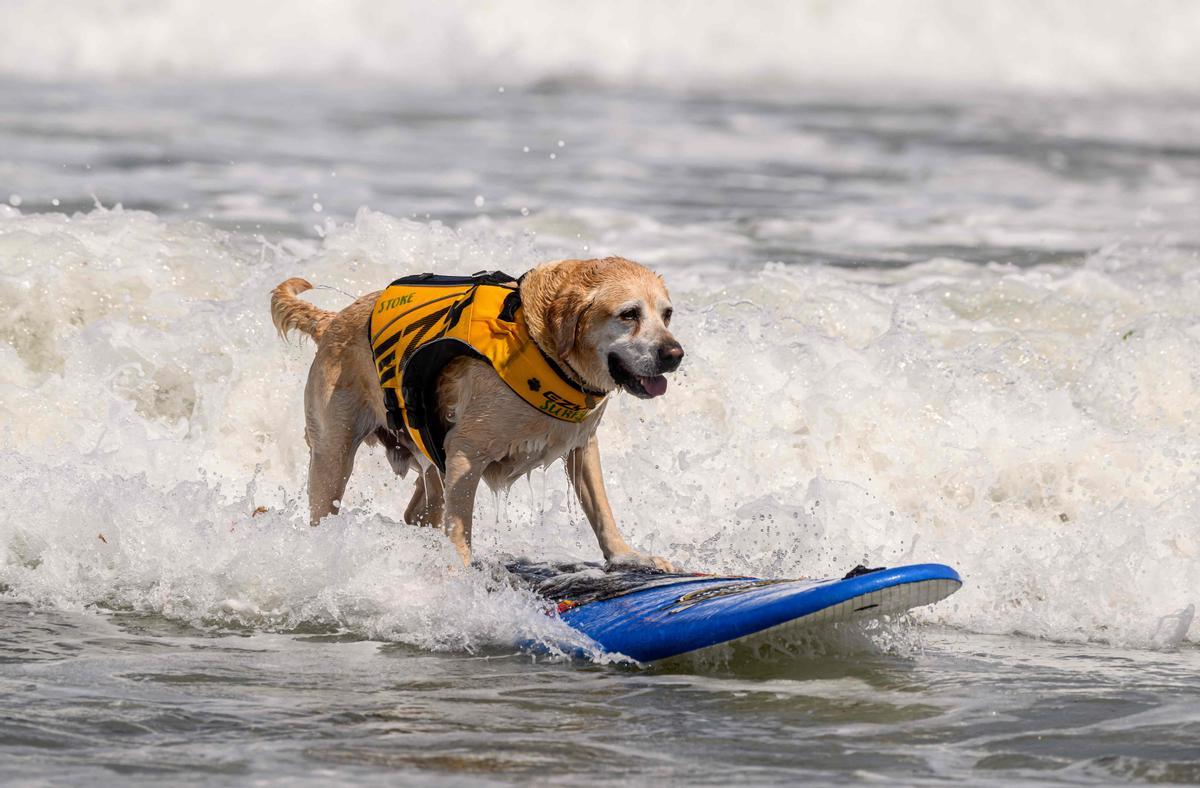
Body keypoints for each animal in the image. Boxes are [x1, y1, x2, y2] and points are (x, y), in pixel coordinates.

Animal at [271, 255, 686, 568]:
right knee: (327, 501)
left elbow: (600, 506)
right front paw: (460, 571)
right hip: (333, 454)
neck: (542, 348)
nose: (674, 354)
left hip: (425, 458)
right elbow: (460, 525)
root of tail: (332, 320)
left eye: (666, 315)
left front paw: (626, 555)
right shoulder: (466, 452)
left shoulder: (582, 446)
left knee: (418, 512)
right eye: (629, 315)